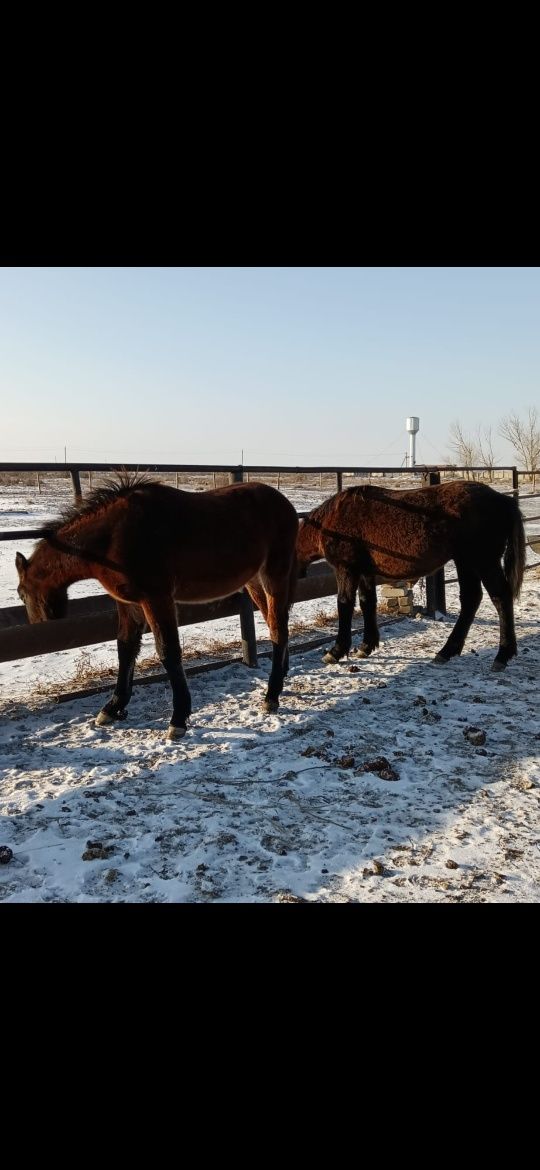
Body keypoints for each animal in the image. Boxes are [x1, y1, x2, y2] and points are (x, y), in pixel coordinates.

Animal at [15, 472, 299, 730]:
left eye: (20, 593)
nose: (38, 623)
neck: (113, 536)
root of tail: (285, 504)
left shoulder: (157, 598)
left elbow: (168, 651)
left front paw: (179, 719)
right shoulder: (128, 603)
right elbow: (125, 648)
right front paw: (113, 707)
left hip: (274, 574)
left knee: (278, 628)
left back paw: (271, 696)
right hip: (253, 582)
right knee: (275, 623)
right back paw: (281, 677)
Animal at [296, 477, 525, 678]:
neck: (333, 519)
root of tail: (503, 500)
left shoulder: (347, 569)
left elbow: (344, 604)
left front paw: (336, 651)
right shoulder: (365, 571)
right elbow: (367, 602)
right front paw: (366, 646)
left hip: (484, 562)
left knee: (500, 597)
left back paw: (502, 655)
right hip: (465, 562)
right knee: (471, 599)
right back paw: (446, 652)